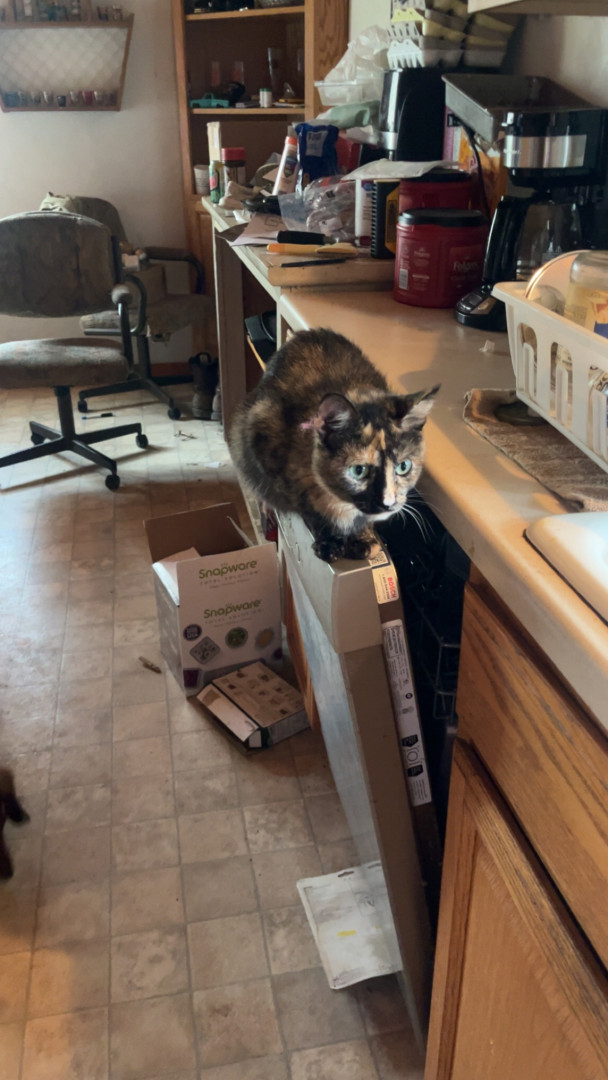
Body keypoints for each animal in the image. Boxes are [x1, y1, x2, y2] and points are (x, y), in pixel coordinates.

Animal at [229, 328, 438, 563]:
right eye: (358, 470)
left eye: (404, 467)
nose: (388, 503)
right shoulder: (268, 450)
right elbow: (307, 507)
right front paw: (329, 541)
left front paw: (363, 538)